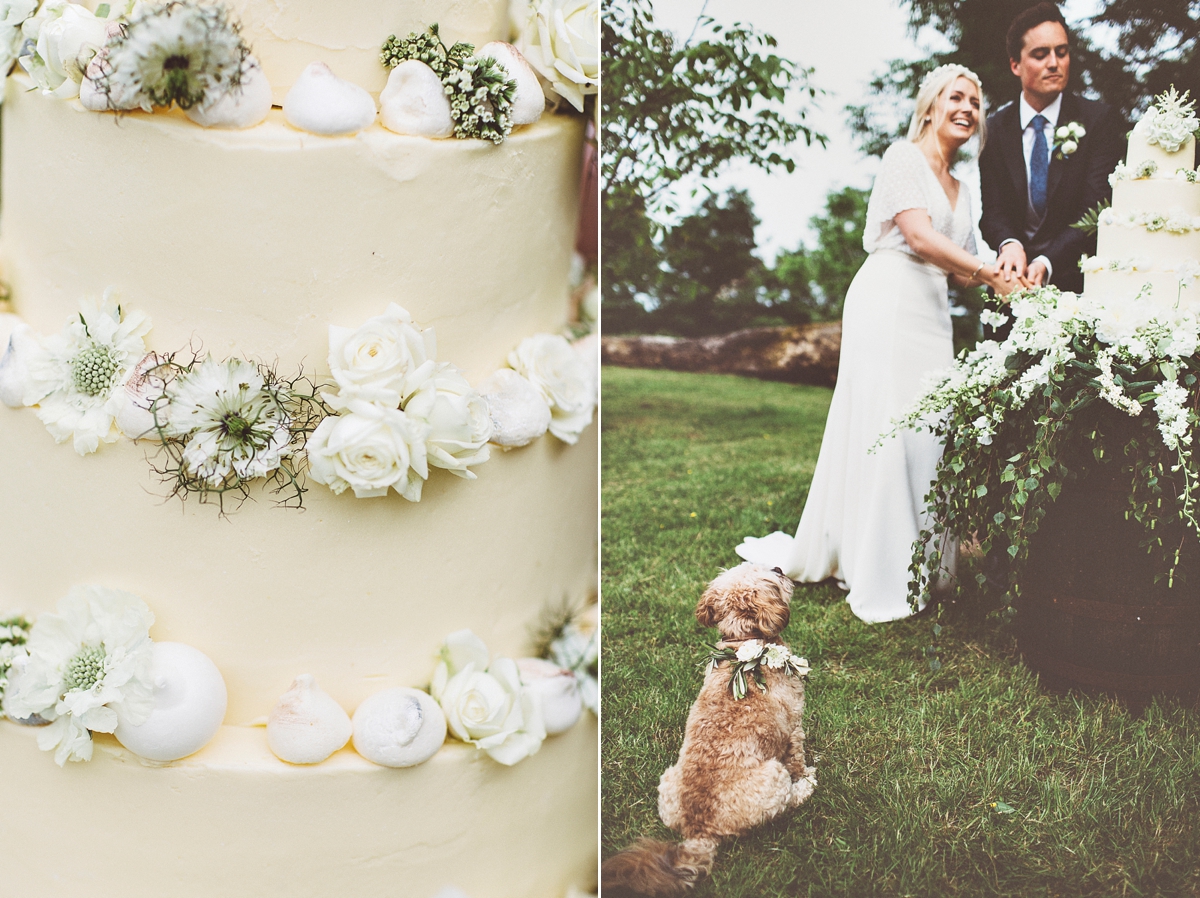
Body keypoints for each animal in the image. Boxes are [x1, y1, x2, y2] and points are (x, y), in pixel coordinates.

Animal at [600, 564, 816, 893]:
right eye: (771, 578)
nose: (780, 567)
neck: (744, 644)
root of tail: (699, 829)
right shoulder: (794, 725)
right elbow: (797, 759)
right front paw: (805, 775)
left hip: (667, 780)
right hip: (773, 777)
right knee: (785, 803)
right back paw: (804, 789)